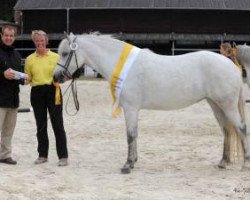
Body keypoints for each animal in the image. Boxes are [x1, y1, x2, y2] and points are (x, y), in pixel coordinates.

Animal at [53, 33, 250, 173]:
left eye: (65, 53)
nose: (56, 77)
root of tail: (232, 66)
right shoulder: (133, 110)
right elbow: (135, 135)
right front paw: (133, 161)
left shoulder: (131, 109)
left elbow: (130, 135)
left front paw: (127, 165)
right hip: (216, 105)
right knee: (226, 130)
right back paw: (223, 162)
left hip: (227, 105)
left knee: (241, 128)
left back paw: (245, 163)